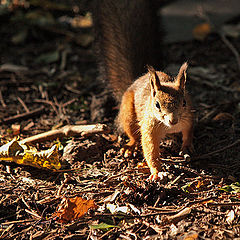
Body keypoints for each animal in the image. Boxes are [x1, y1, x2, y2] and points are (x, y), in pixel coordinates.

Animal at [93, 0, 194, 180]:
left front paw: (187, 145)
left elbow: (189, 131)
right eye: (157, 105)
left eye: (184, 102)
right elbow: (150, 148)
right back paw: (130, 147)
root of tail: (134, 81)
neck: (168, 127)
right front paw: (157, 171)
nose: (173, 120)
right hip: (128, 115)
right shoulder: (149, 127)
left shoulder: (188, 117)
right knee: (133, 135)